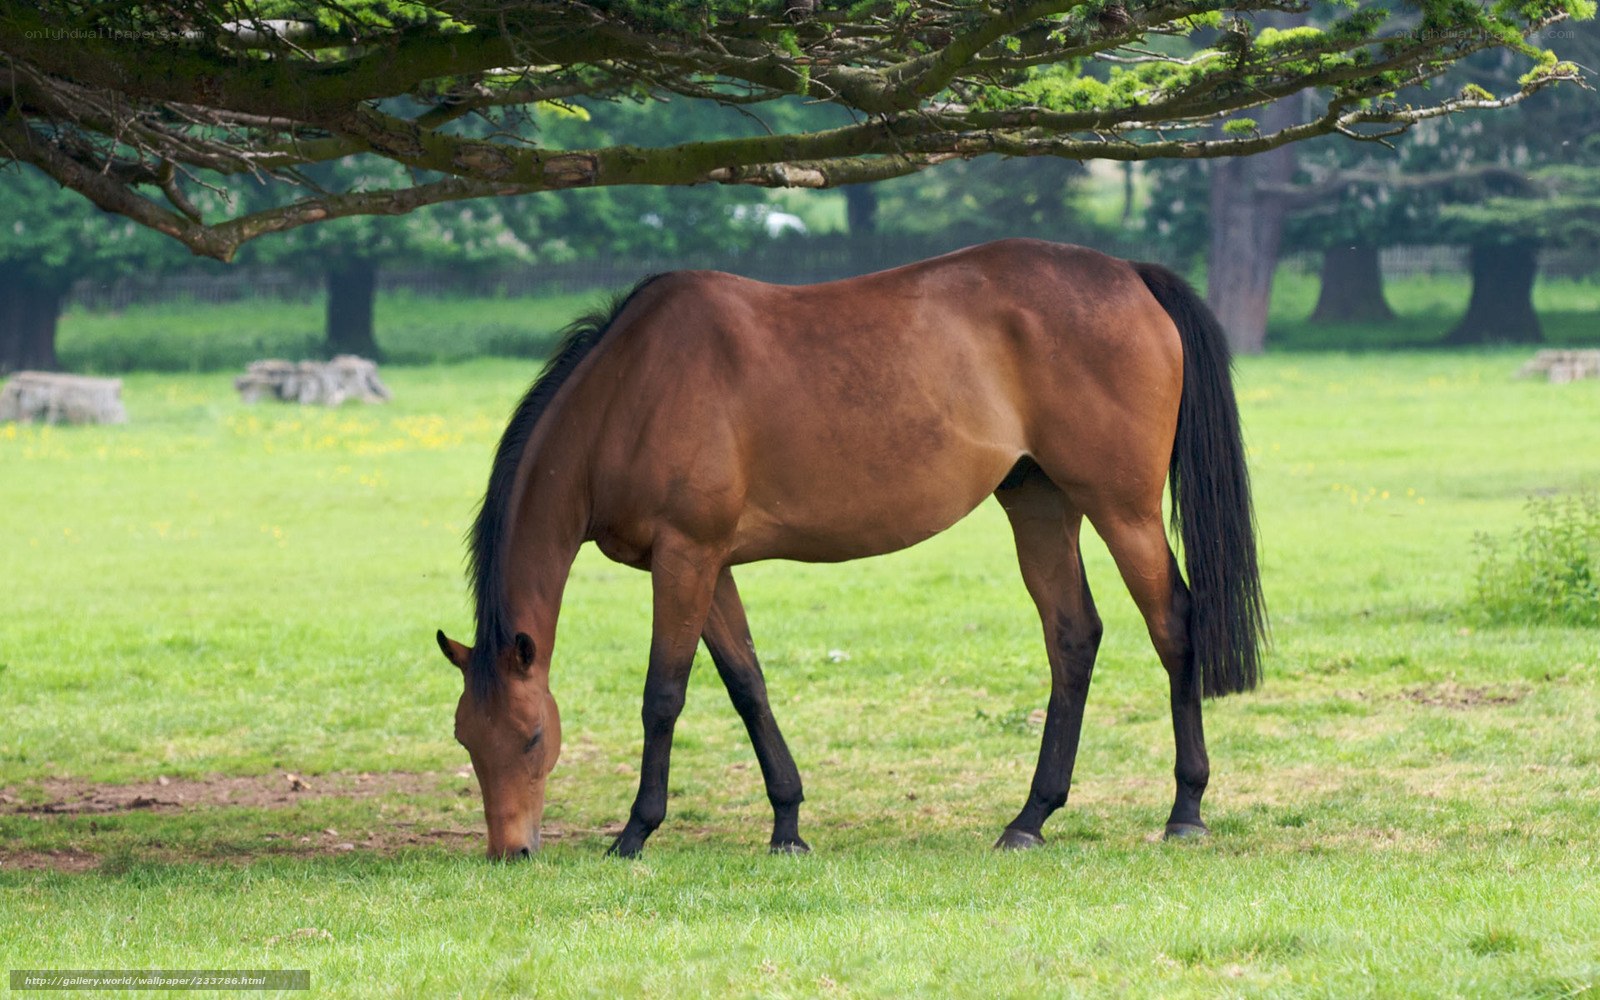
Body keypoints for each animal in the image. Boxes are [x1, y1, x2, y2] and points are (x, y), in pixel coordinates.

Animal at [434, 238, 1265, 860]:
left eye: (532, 736)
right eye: (466, 740)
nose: (511, 852)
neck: (631, 391)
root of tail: (1129, 273)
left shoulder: (684, 558)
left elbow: (663, 695)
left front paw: (636, 832)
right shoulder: (711, 566)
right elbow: (748, 686)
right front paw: (787, 824)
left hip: (1122, 509)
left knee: (1174, 625)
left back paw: (1186, 809)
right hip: (1039, 502)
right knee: (1073, 637)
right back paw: (1030, 818)